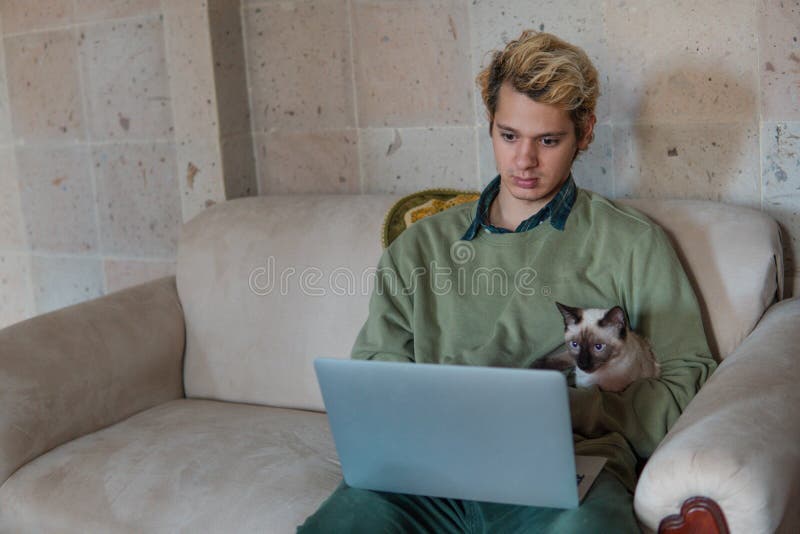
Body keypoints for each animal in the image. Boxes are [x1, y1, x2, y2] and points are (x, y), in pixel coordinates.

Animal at [532, 302, 664, 394]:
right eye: (574, 344)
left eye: (598, 347)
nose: (583, 364)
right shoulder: (573, 360)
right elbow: (562, 358)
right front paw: (534, 366)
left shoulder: (612, 392)